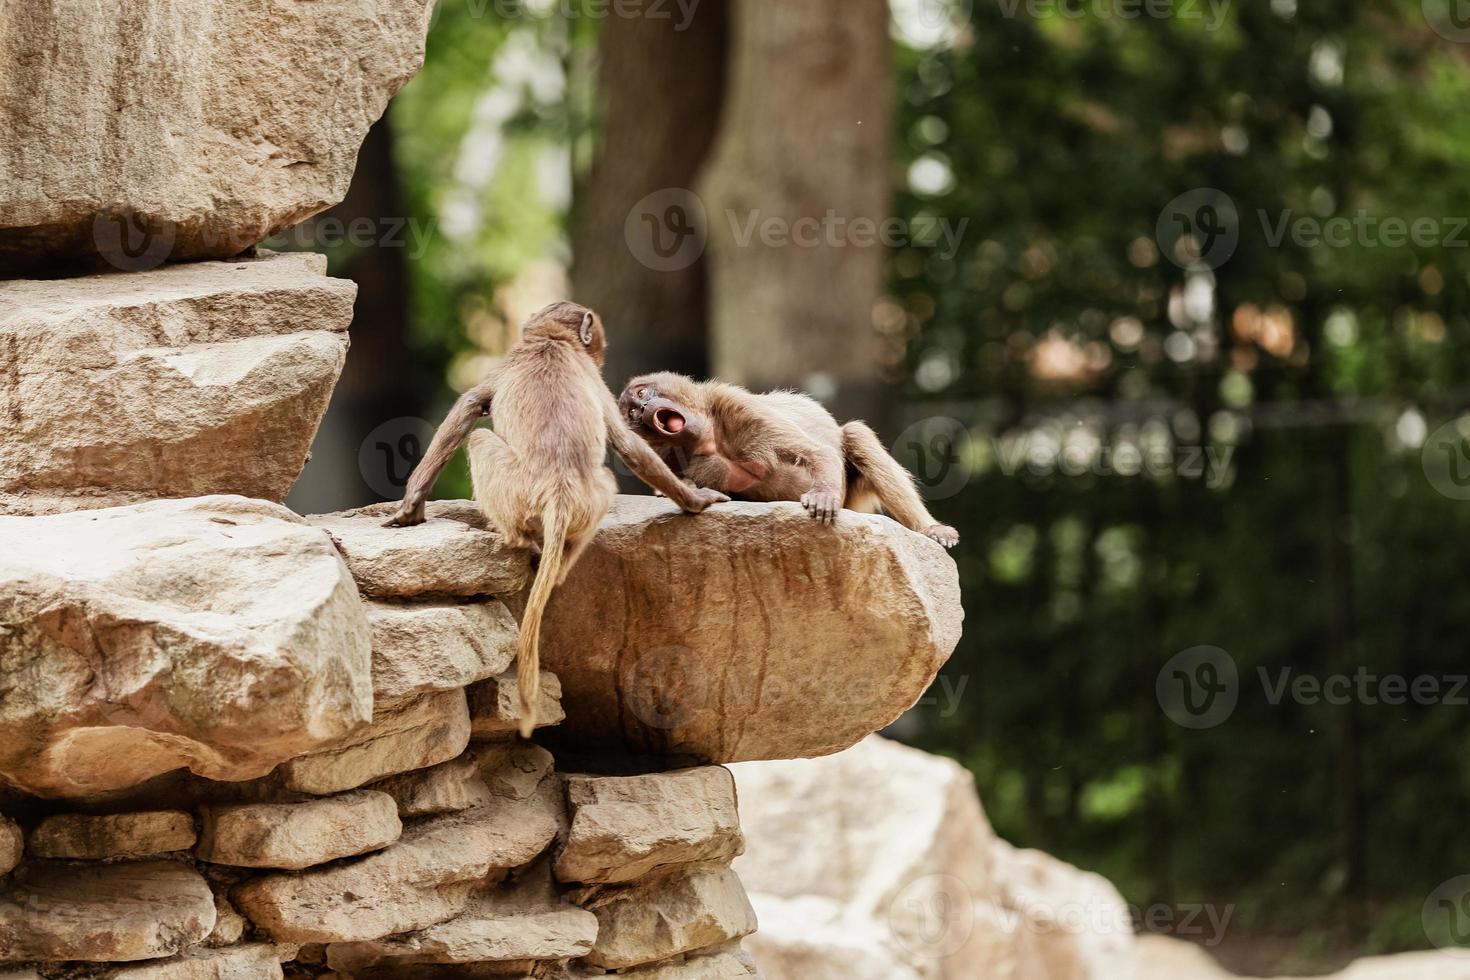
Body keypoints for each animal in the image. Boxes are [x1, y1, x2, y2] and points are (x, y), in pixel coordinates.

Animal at [379, 302, 723, 731]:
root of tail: (557, 490)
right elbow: (626, 443)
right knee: (596, 478)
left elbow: (471, 405)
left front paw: (411, 506)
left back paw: (523, 544)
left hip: (524, 492)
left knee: (482, 440)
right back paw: (552, 564)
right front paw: (695, 500)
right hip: (568, 496)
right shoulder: (586, 373)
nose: (599, 353)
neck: (550, 342)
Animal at [614, 371, 958, 549]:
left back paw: (930, 529)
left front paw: (823, 495)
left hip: (853, 496)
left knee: (856, 435)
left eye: (642, 394)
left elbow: (819, 453)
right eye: (631, 412)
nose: (643, 409)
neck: (708, 437)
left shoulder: (735, 406)